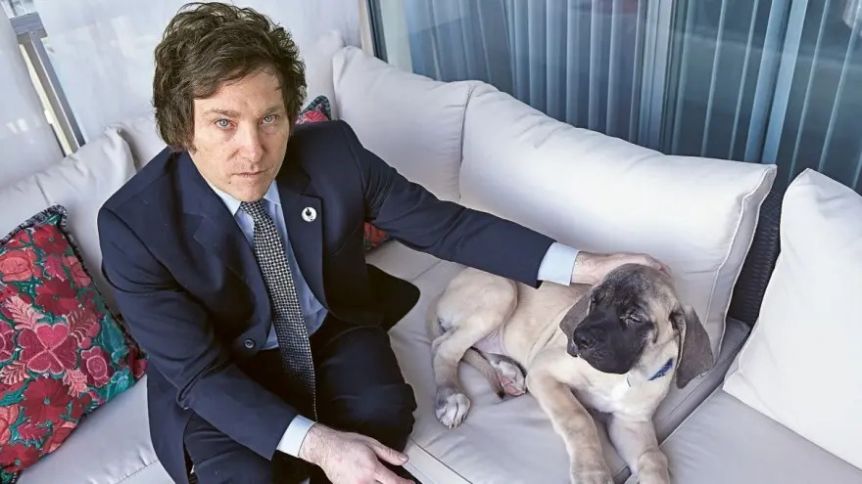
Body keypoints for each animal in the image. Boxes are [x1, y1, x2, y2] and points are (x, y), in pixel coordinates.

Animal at [429, 263, 714, 484]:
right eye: (594, 301)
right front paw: (592, 473)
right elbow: (579, 419)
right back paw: (451, 397)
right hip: (502, 293)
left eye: (634, 317)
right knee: (443, 347)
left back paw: (508, 372)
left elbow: (654, 457)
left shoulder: (630, 423)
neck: (626, 376)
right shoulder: (543, 372)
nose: (579, 338)